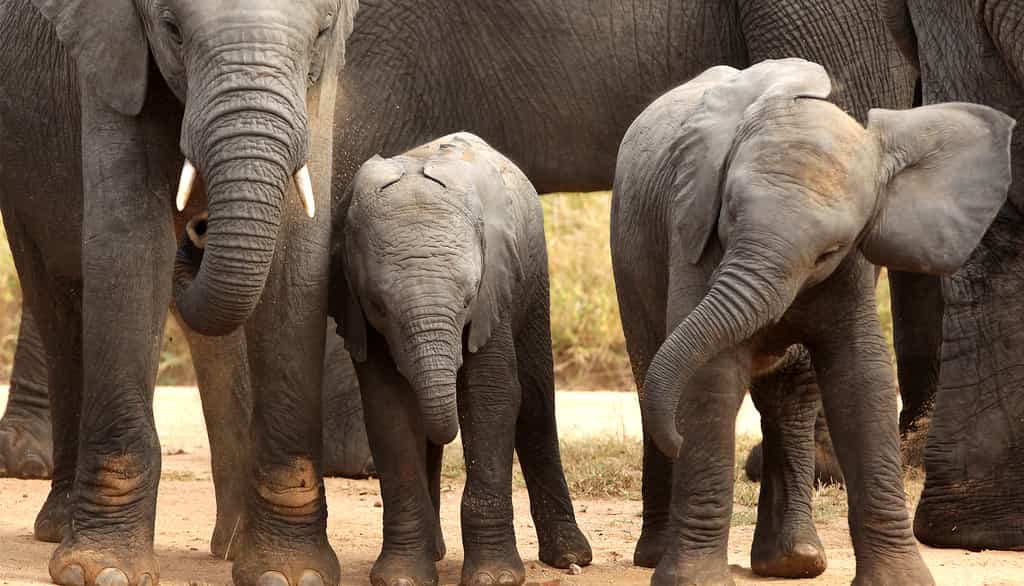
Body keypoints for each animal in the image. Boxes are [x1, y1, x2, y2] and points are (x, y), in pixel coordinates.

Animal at [0, 0, 357, 584]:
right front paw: (103, 572)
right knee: (58, 296)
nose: (197, 230)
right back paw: (59, 526)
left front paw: (289, 574)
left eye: (323, 32)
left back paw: (231, 545)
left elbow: (296, 253)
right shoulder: (111, 56)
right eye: (172, 31)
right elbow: (132, 242)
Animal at [332, 133, 590, 586]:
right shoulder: (358, 313)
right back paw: (434, 553)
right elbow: (388, 410)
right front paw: (402, 578)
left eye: (470, 296)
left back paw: (570, 556)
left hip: (534, 277)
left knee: (536, 405)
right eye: (379, 306)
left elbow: (492, 397)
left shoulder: (495, 290)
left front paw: (496, 578)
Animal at [611, 58, 1014, 586]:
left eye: (830, 250)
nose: (678, 441)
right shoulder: (692, 229)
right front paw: (692, 581)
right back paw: (658, 554)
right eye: (730, 214)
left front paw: (900, 581)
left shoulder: (854, 265)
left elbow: (861, 379)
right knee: (650, 367)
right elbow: (711, 376)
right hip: (628, 249)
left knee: (790, 393)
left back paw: (794, 562)